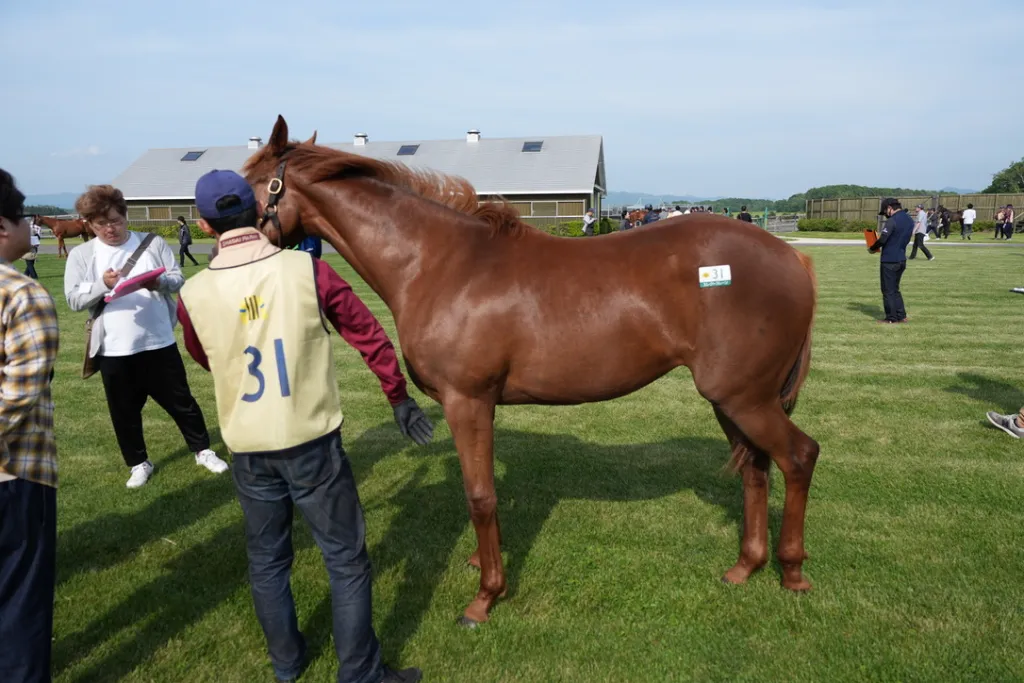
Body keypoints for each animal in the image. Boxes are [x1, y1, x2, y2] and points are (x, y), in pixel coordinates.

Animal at [241, 115, 820, 628]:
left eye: (244, 188)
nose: (220, 233)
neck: (438, 262)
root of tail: (791, 259)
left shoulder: (467, 400)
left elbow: (479, 497)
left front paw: (484, 598)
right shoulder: (482, 406)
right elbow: (484, 493)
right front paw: (482, 564)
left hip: (745, 398)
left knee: (798, 457)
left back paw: (792, 572)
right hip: (732, 400)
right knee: (755, 469)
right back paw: (745, 567)